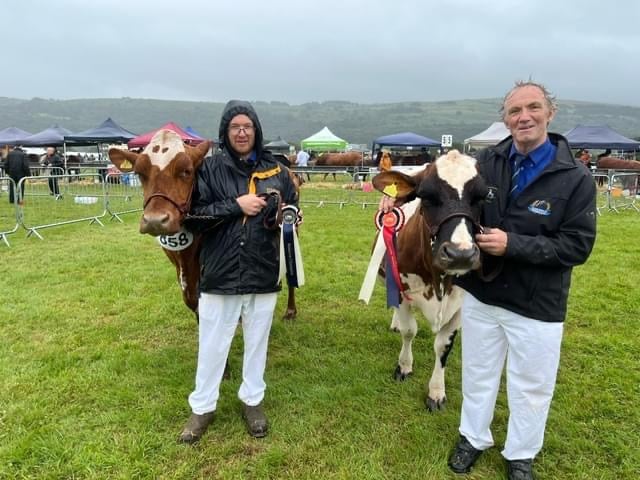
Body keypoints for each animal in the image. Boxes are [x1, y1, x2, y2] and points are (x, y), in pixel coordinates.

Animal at [368, 149, 488, 408]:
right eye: (426, 196)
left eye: (483, 197)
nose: (460, 254)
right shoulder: (401, 288)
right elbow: (409, 331)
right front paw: (404, 367)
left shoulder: (460, 303)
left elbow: (443, 346)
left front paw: (436, 391)